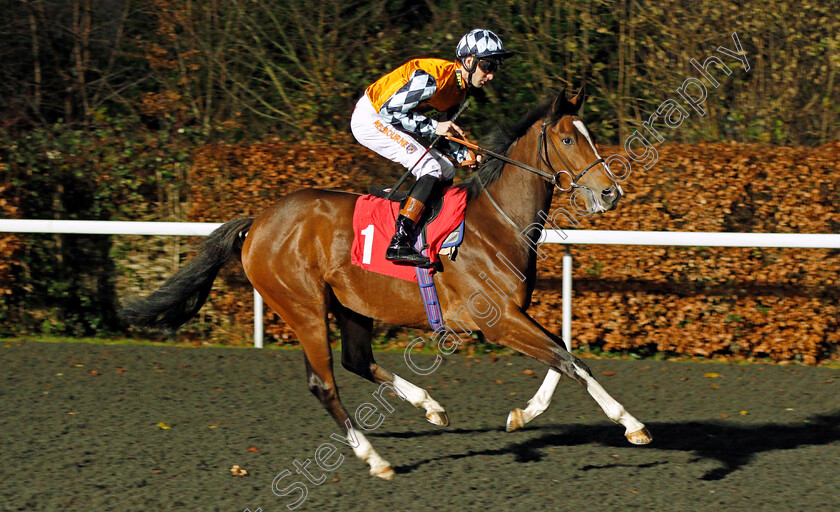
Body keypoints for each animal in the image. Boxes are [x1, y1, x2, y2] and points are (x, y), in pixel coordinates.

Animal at [121, 88, 652, 480]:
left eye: (588, 135)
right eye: (568, 140)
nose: (610, 192)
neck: (496, 224)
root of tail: (257, 223)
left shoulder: (512, 314)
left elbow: (563, 354)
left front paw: (521, 415)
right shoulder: (497, 321)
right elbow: (568, 360)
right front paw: (631, 424)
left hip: (351, 305)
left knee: (357, 360)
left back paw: (430, 406)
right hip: (304, 307)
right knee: (324, 382)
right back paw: (375, 458)